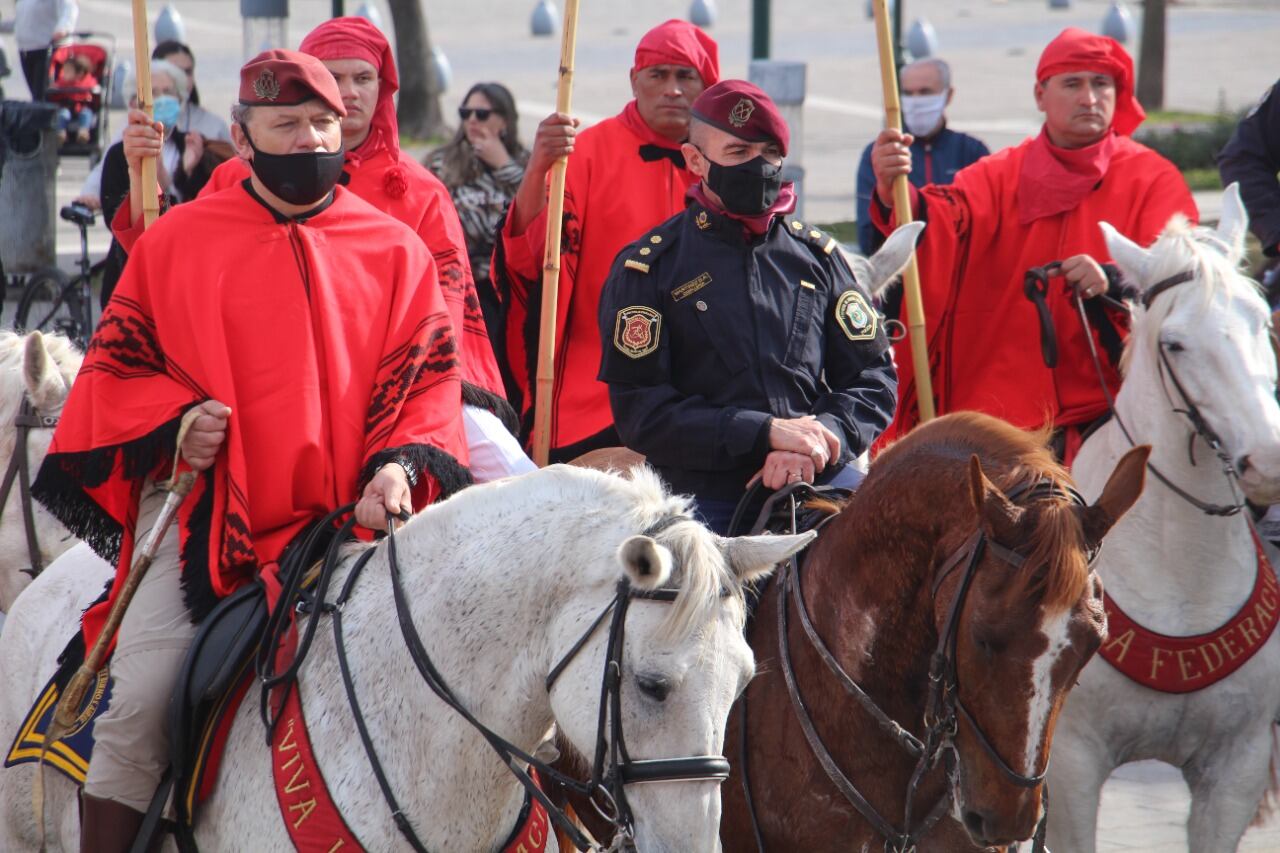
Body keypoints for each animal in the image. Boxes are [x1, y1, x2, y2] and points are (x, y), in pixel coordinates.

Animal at [1049, 183, 1280, 845]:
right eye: (1175, 343)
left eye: (1261, 321)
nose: (1270, 459)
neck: (1182, 574)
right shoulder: (1070, 765)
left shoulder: (1236, 767)